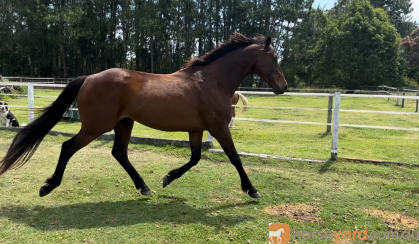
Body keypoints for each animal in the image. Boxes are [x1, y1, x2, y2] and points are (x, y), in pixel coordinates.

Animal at [0, 33, 288, 199]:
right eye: (274, 57)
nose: (283, 86)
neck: (211, 81)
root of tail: (88, 78)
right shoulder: (218, 128)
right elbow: (235, 158)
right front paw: (252, 190)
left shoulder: (197, 129)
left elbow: (195, 158)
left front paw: (168, 178)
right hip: (96, 126)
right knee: (68, 147)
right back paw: (48, 187)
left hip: (123, 123)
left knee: (119, 153)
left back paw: (144, 187)